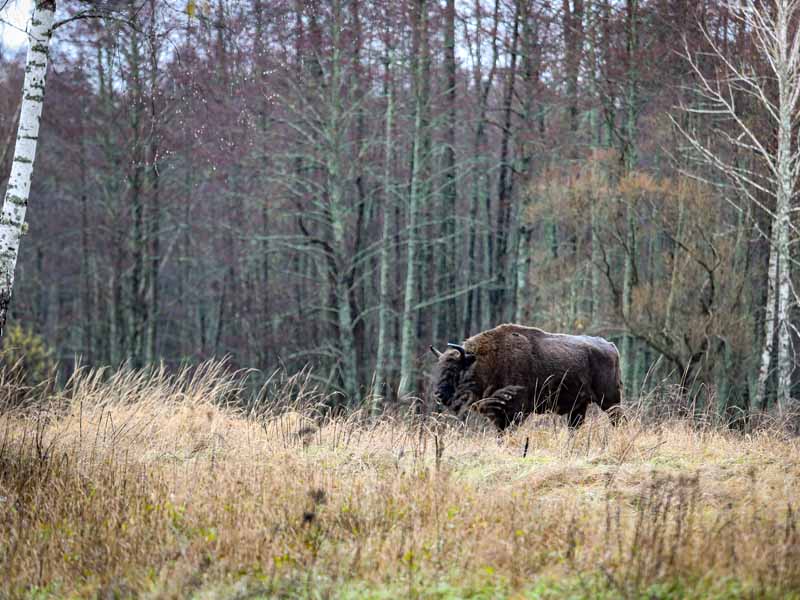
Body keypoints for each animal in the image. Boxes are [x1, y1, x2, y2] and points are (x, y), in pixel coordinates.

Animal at [432, 326, 624, 428]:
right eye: (439, 368)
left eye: (455, 370)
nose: (438, 394)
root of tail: (611, 346)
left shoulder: (516, 412)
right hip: (578, 407)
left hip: (610, 400)